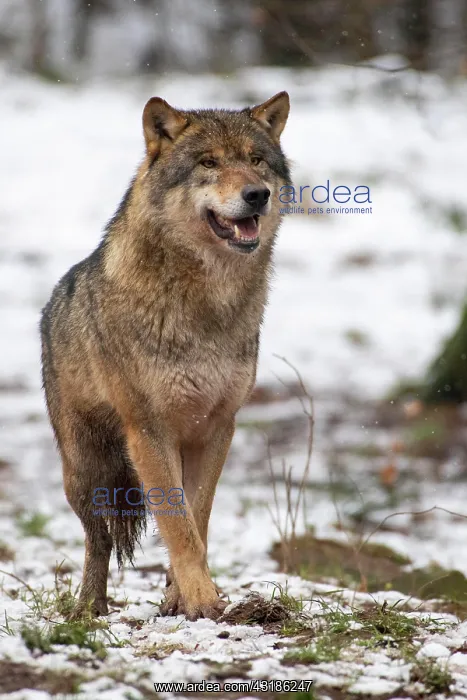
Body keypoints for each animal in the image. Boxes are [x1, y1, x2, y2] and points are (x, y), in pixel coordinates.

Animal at [40, 91, 290, 621]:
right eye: (208, 163)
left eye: (256, 160)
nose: (257, 194)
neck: (207, 307)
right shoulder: (149, 431)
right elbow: (177, 523)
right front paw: (202, 600)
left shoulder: (217, 428)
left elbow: (197, 518)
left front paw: (180, 596)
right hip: (85, 474)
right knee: (98, 541)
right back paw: (88, 609)